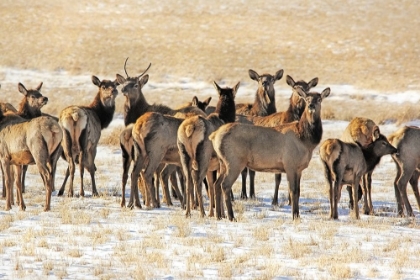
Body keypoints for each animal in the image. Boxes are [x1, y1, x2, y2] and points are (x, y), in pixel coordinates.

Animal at [176, 80, 238, 218]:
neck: (223, 118)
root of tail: (189, 128)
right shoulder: (220, 165)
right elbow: (217, 186)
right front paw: (221, 214)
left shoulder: (211, 168)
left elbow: (211, 186)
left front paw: (212, 213)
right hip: (202, 159)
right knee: (198, 182)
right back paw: (202, 213)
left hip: (184, 157)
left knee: (188, 182)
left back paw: (188, 212)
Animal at [212, 86, 330, 220]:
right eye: (307, 98)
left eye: (319, 99)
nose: (311, 106)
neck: (305, 140)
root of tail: (214, 136)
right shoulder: (290, 164)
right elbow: (293, 191)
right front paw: (294, 215)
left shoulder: (299, 168)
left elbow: (299, 191)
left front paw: (298, 215)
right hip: (234, 161)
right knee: (225, 185)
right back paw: (231, 217)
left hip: (223, 162)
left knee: (216, 184)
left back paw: (219, 215)